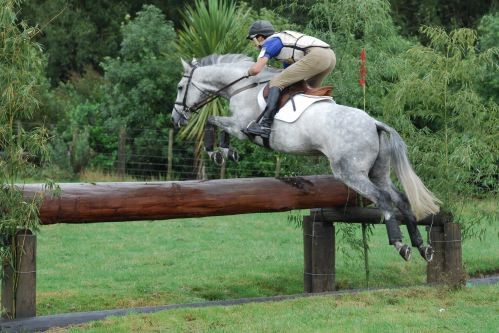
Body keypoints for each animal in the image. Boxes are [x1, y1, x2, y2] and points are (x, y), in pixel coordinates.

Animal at [173, 53, 442, 262]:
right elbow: (217, 124)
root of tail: (374, 123)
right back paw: (422, 246)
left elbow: (212, 120)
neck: (243, 86)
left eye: (179, 88)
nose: (176, 119)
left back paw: (400, 244)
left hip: (350, 173)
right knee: (402, 200)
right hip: (379, 173)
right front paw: (226, 152)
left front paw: (215, 151)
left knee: (384, 199)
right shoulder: (237, 126)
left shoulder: (241, 127)